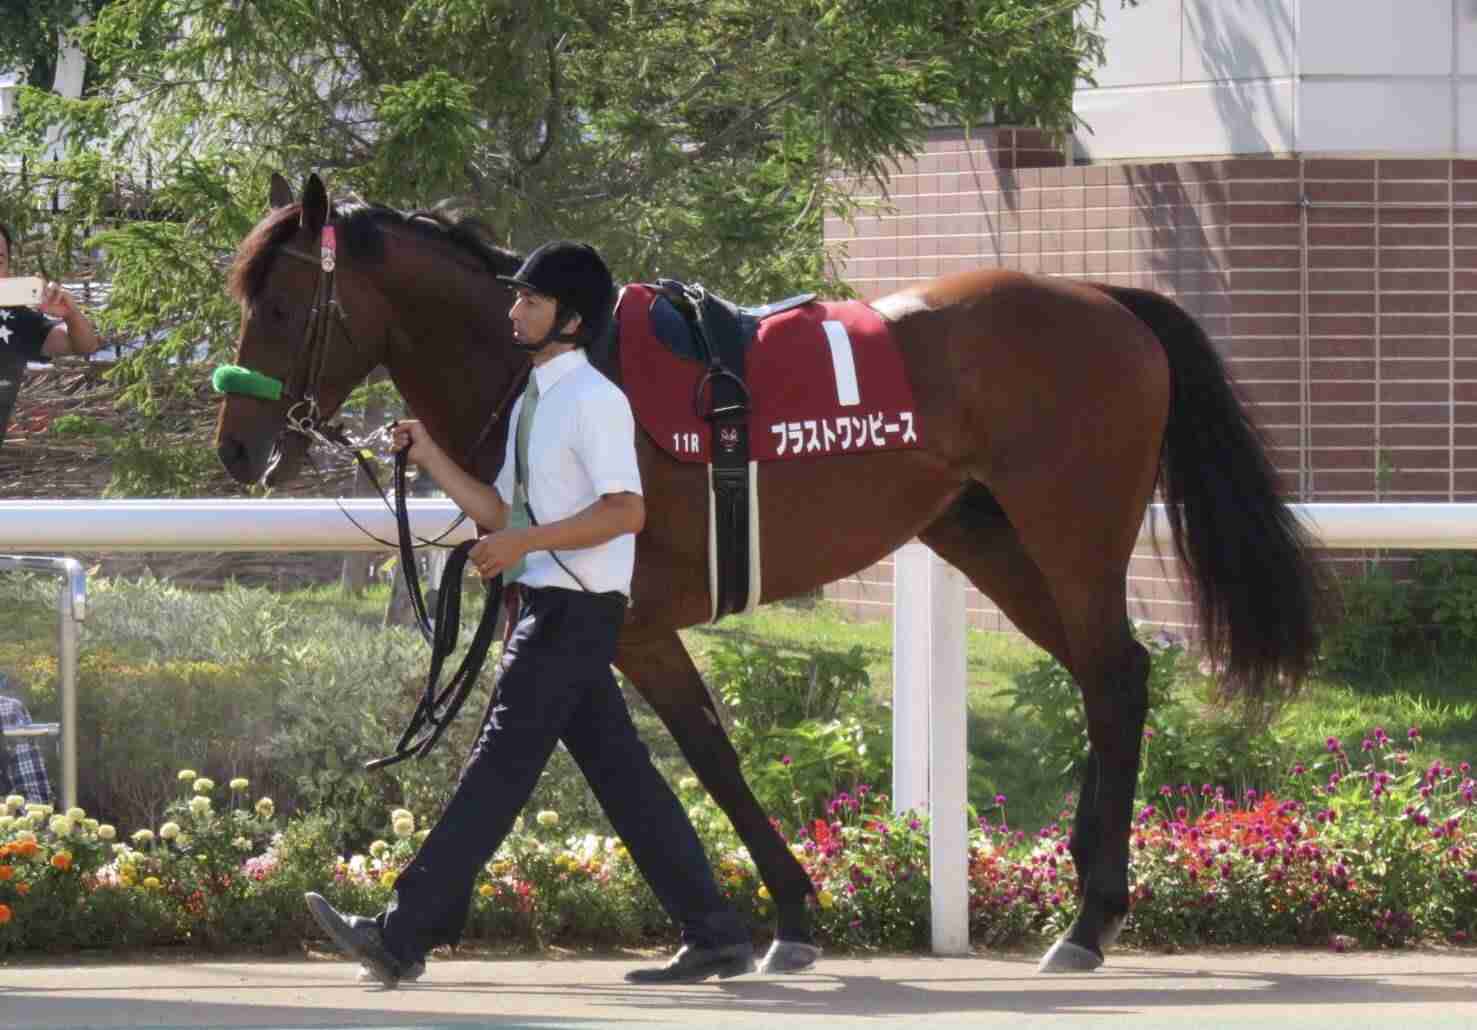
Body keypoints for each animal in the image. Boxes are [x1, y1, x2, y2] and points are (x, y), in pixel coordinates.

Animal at [215, 173, 1320, 974]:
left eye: (282, 305)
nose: (237, 450)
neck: (553, 369)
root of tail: (1109, 301)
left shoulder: (625, 615)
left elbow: (693, 753)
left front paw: (767, 919)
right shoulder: (603, 618)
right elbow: (675, 751)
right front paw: (770, 918)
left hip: (1072, 532)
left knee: (1117, 679)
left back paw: (1087, 919)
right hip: (987, 538)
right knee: (1104, 676)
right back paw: (1088, 900)